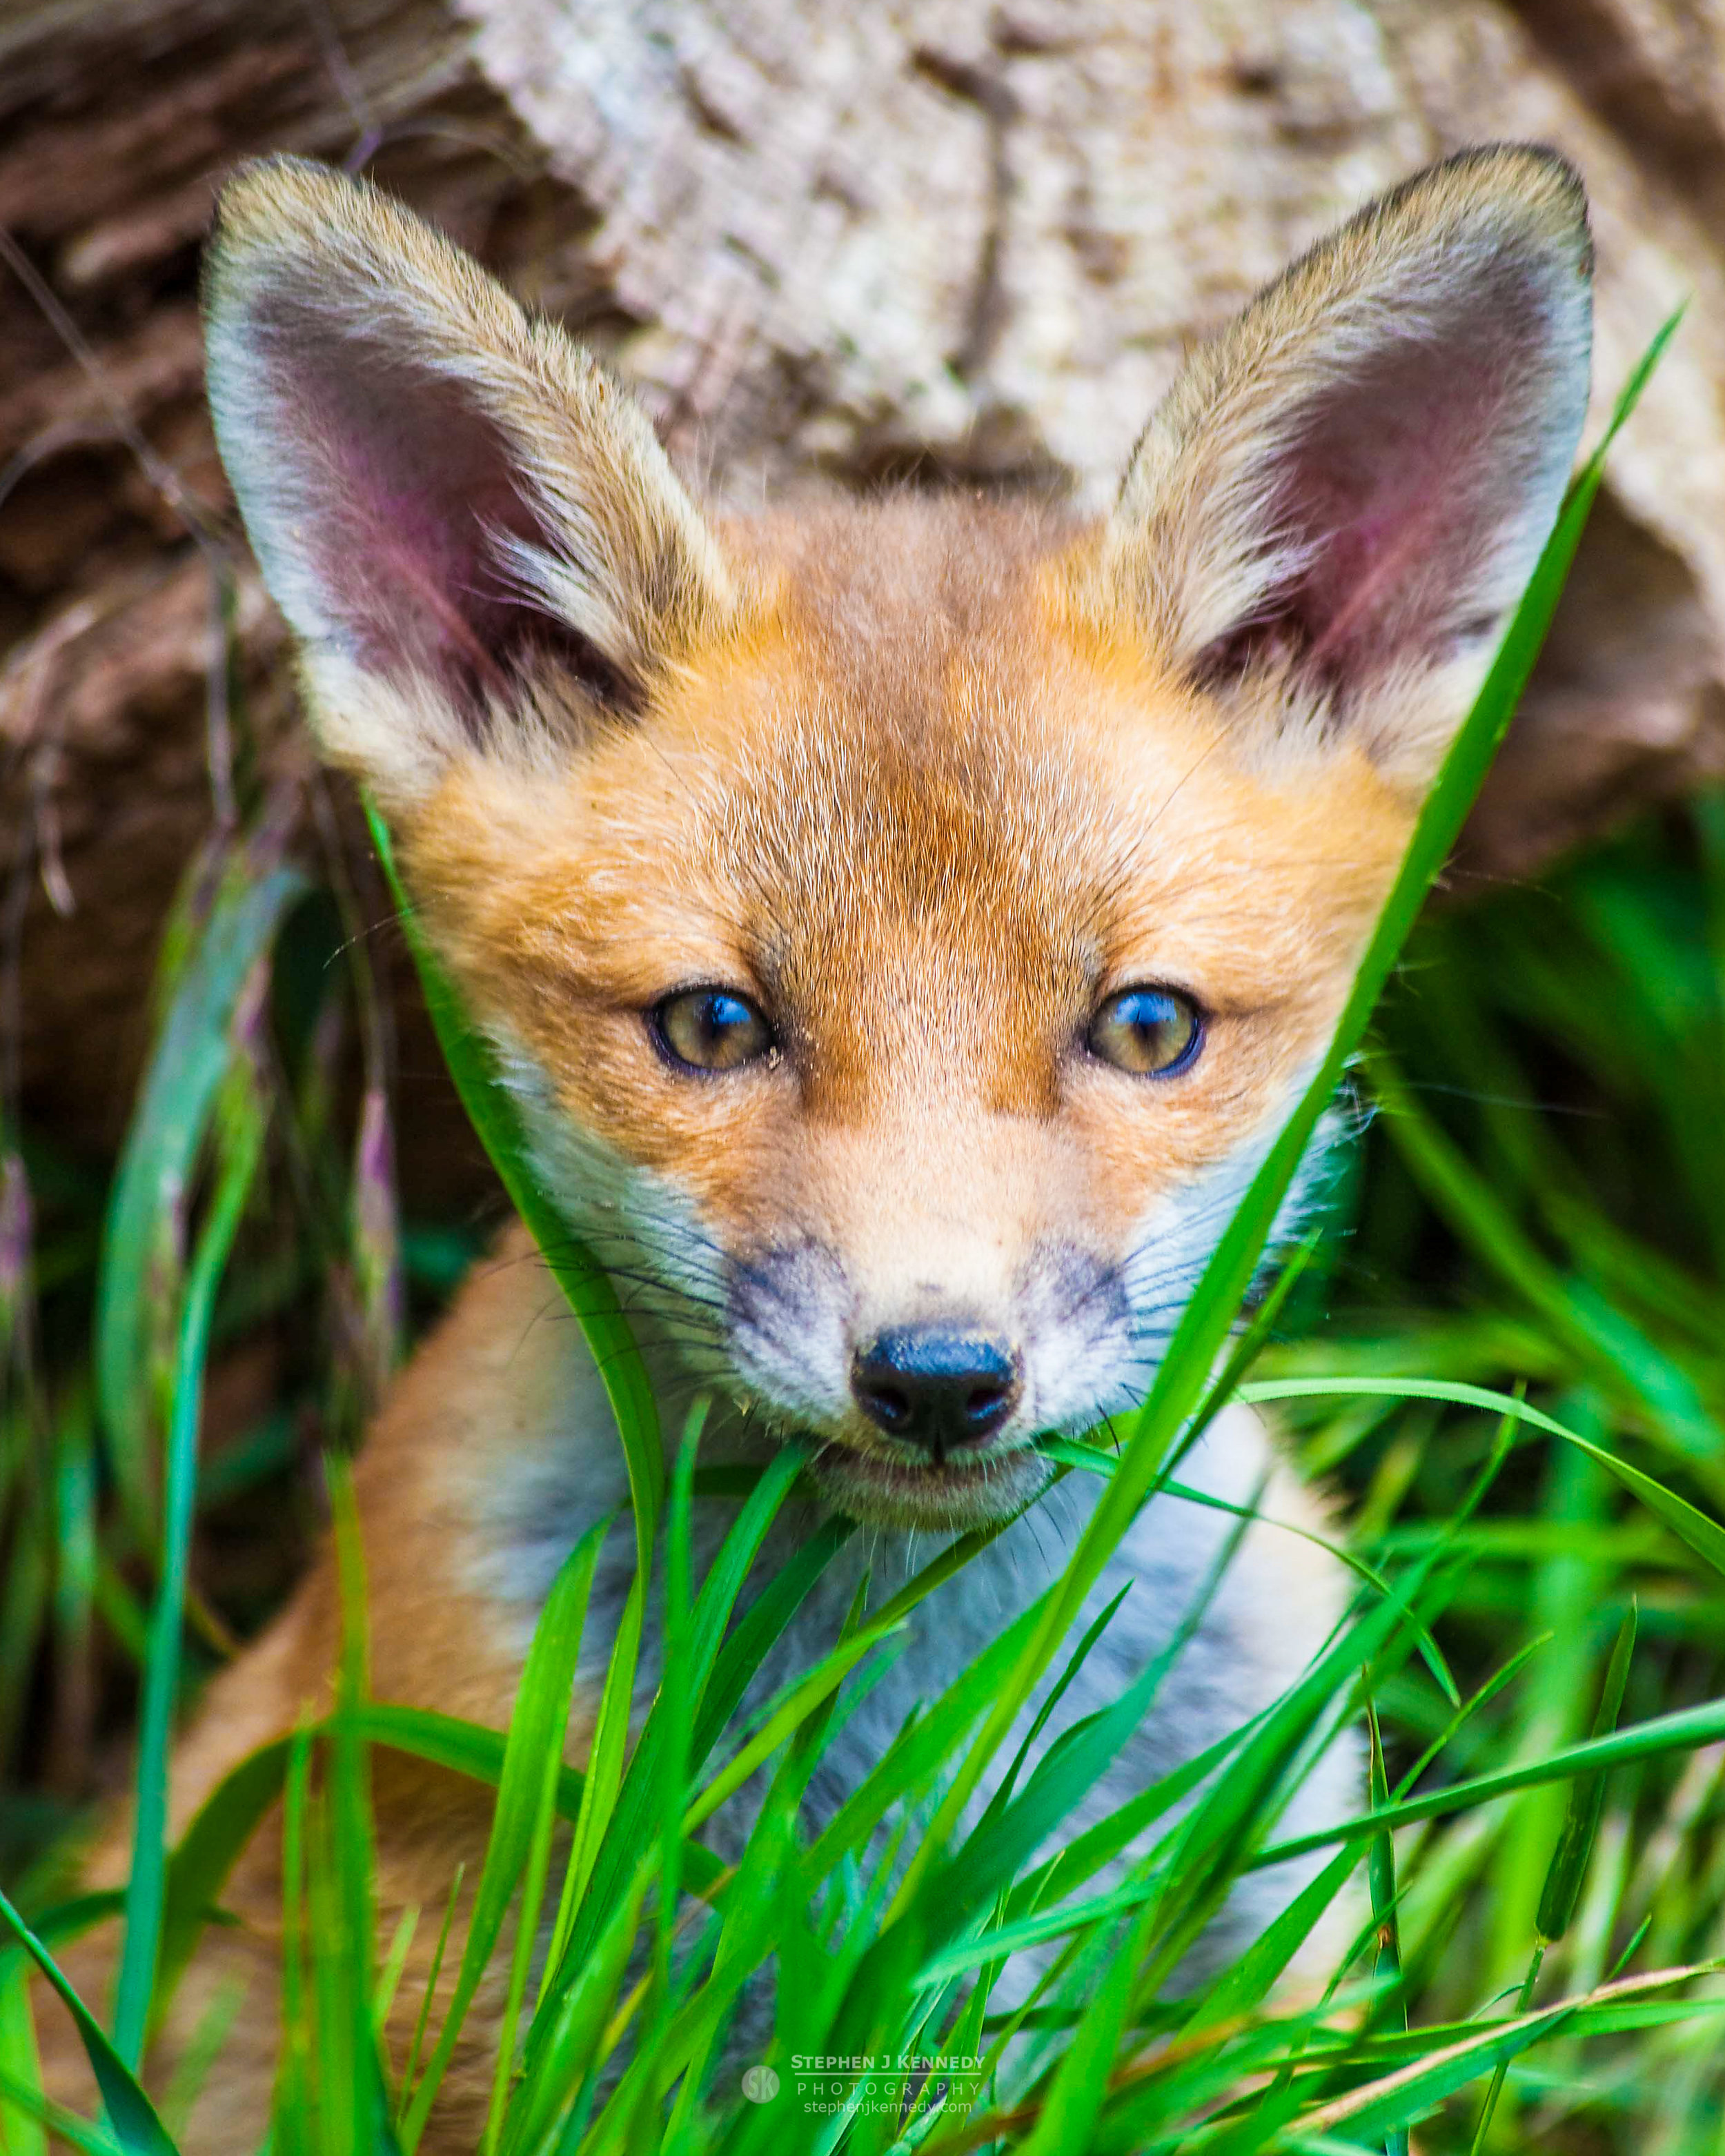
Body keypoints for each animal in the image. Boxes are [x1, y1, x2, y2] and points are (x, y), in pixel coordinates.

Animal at [36, 144, 1592, 2151]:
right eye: (712, 1026)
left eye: (1144, 1028)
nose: (937, 1375)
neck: (916, 1732)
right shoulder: (493, 2007)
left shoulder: (1265, 1982)